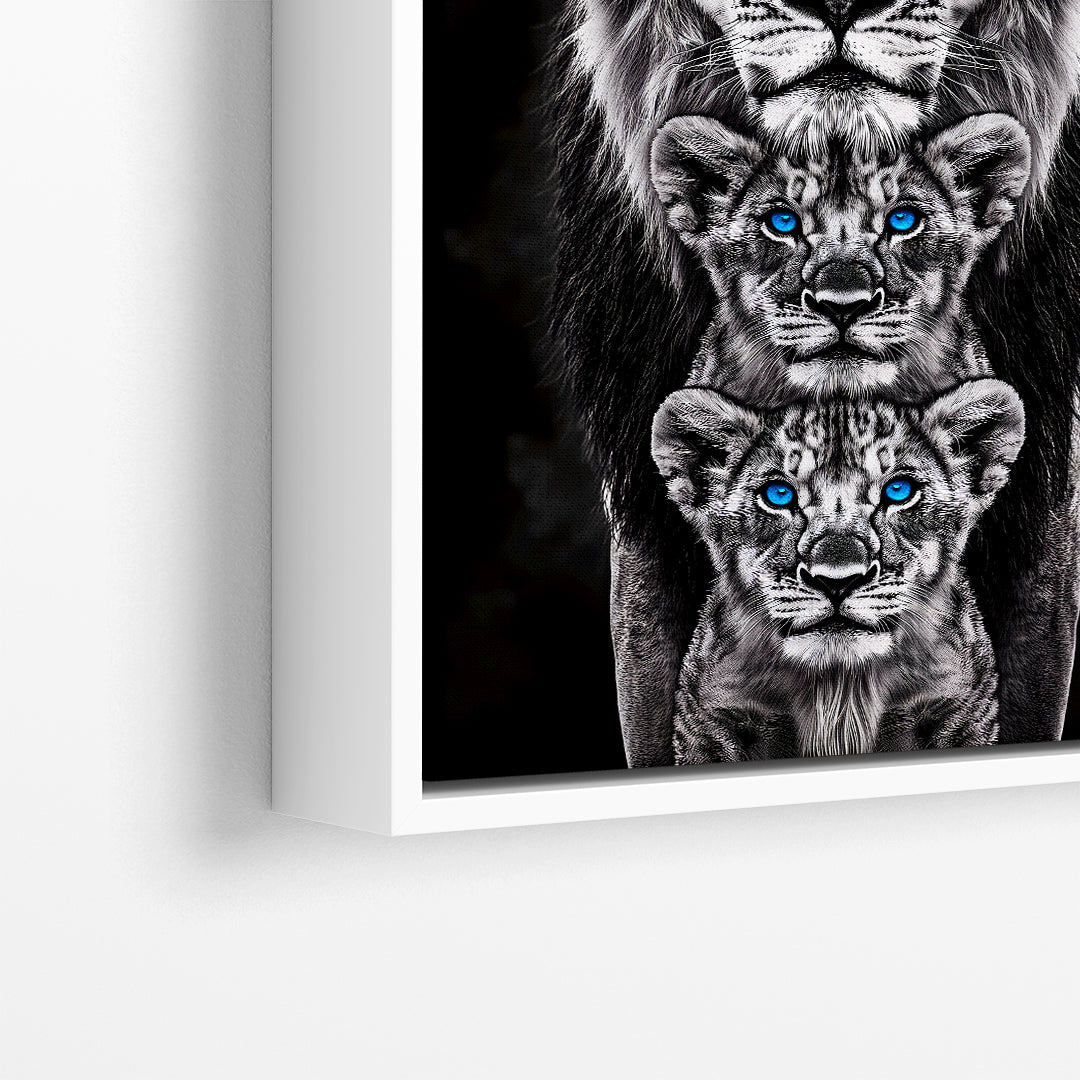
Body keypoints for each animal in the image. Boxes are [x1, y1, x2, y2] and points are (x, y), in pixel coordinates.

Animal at [651, 380, 1026, 762]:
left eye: (899, 490)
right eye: (778, 494)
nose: (837, 581)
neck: (838, 690)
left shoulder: (958, 708)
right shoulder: (714, 718)